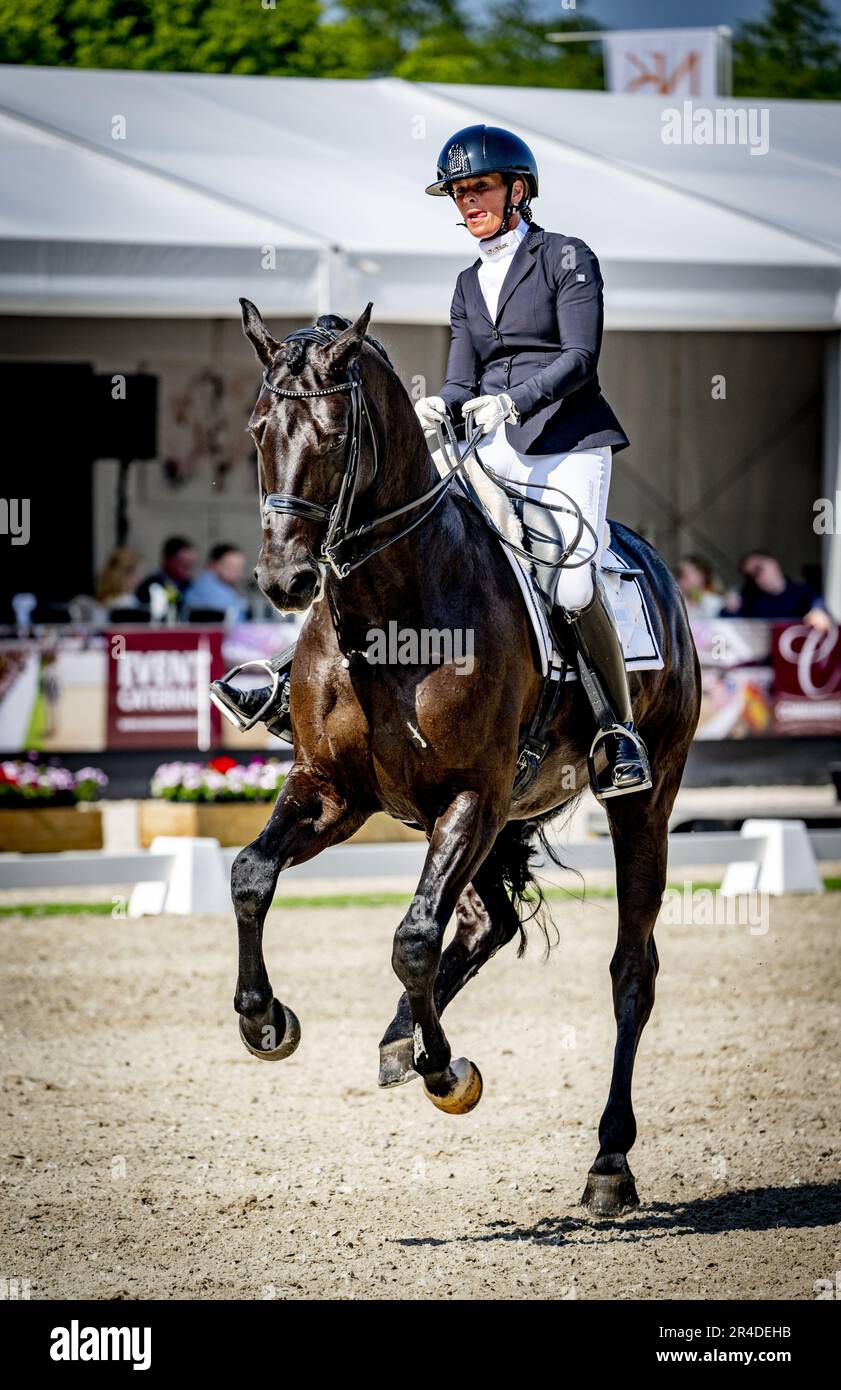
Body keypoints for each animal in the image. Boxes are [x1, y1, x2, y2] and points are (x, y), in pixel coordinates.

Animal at [230, 298, 700, 1212]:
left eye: (335, 434)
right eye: (259, 428)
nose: (284, 581)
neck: (389, 613)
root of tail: (656, 570)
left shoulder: (472, 797)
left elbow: (412, 937)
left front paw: (448, 1075)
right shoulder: (332, 790)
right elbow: (250, 874)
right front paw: (266, 1021)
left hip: (639, 801)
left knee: (632, 970)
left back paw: (608, 1163)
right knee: (490, 920)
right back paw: (396, 1040)